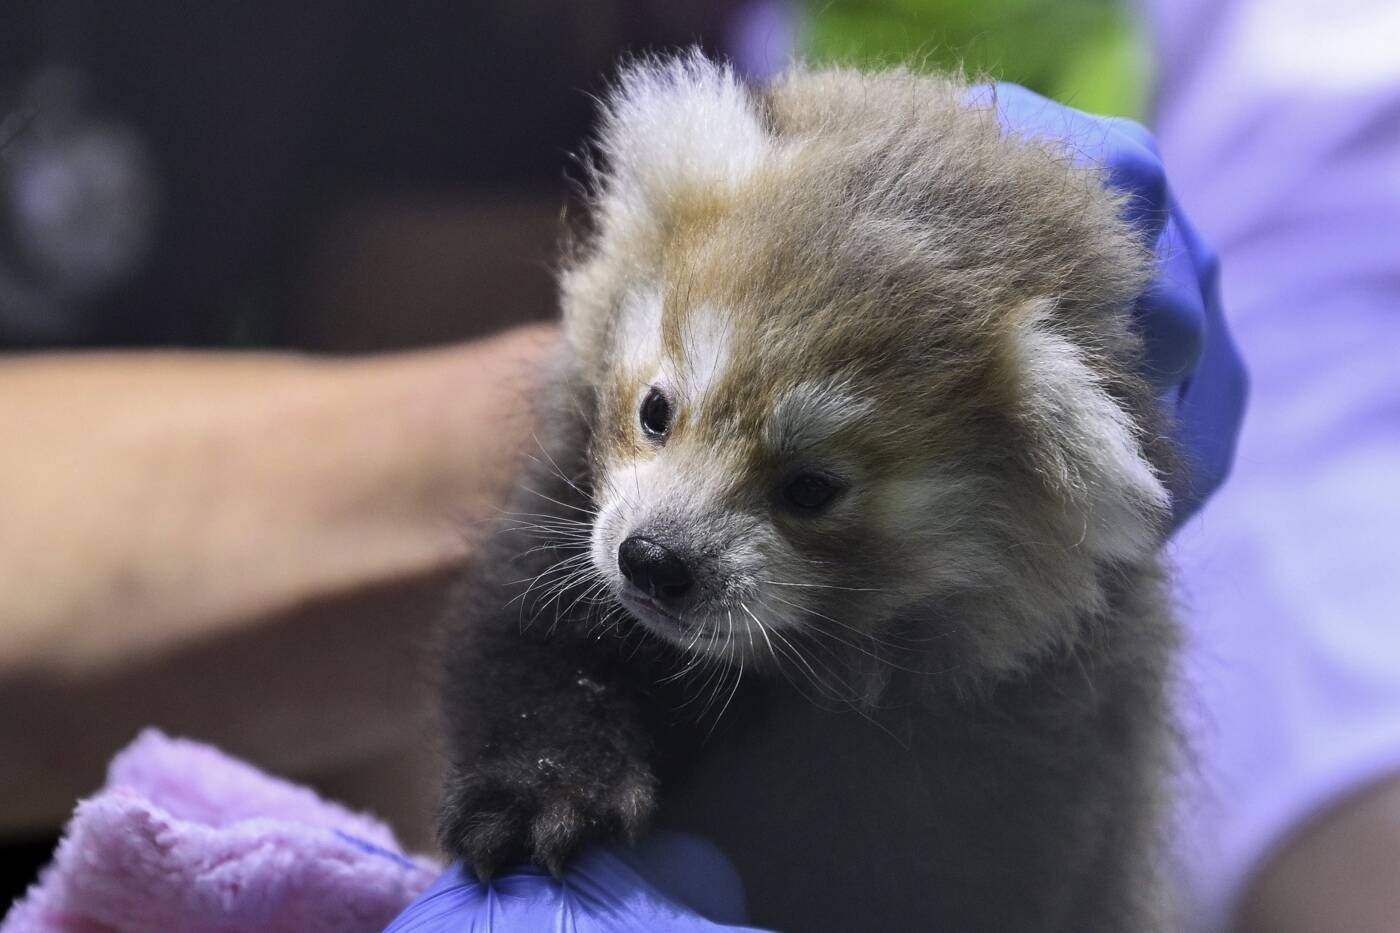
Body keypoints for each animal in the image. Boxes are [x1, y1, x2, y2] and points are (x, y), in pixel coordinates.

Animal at [439, 52, 1181, 930]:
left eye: (810, 488)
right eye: (656, 410)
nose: (654, 559)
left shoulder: (1035, 733)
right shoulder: (564, 513)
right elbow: (527, 644)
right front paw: (542, 793)